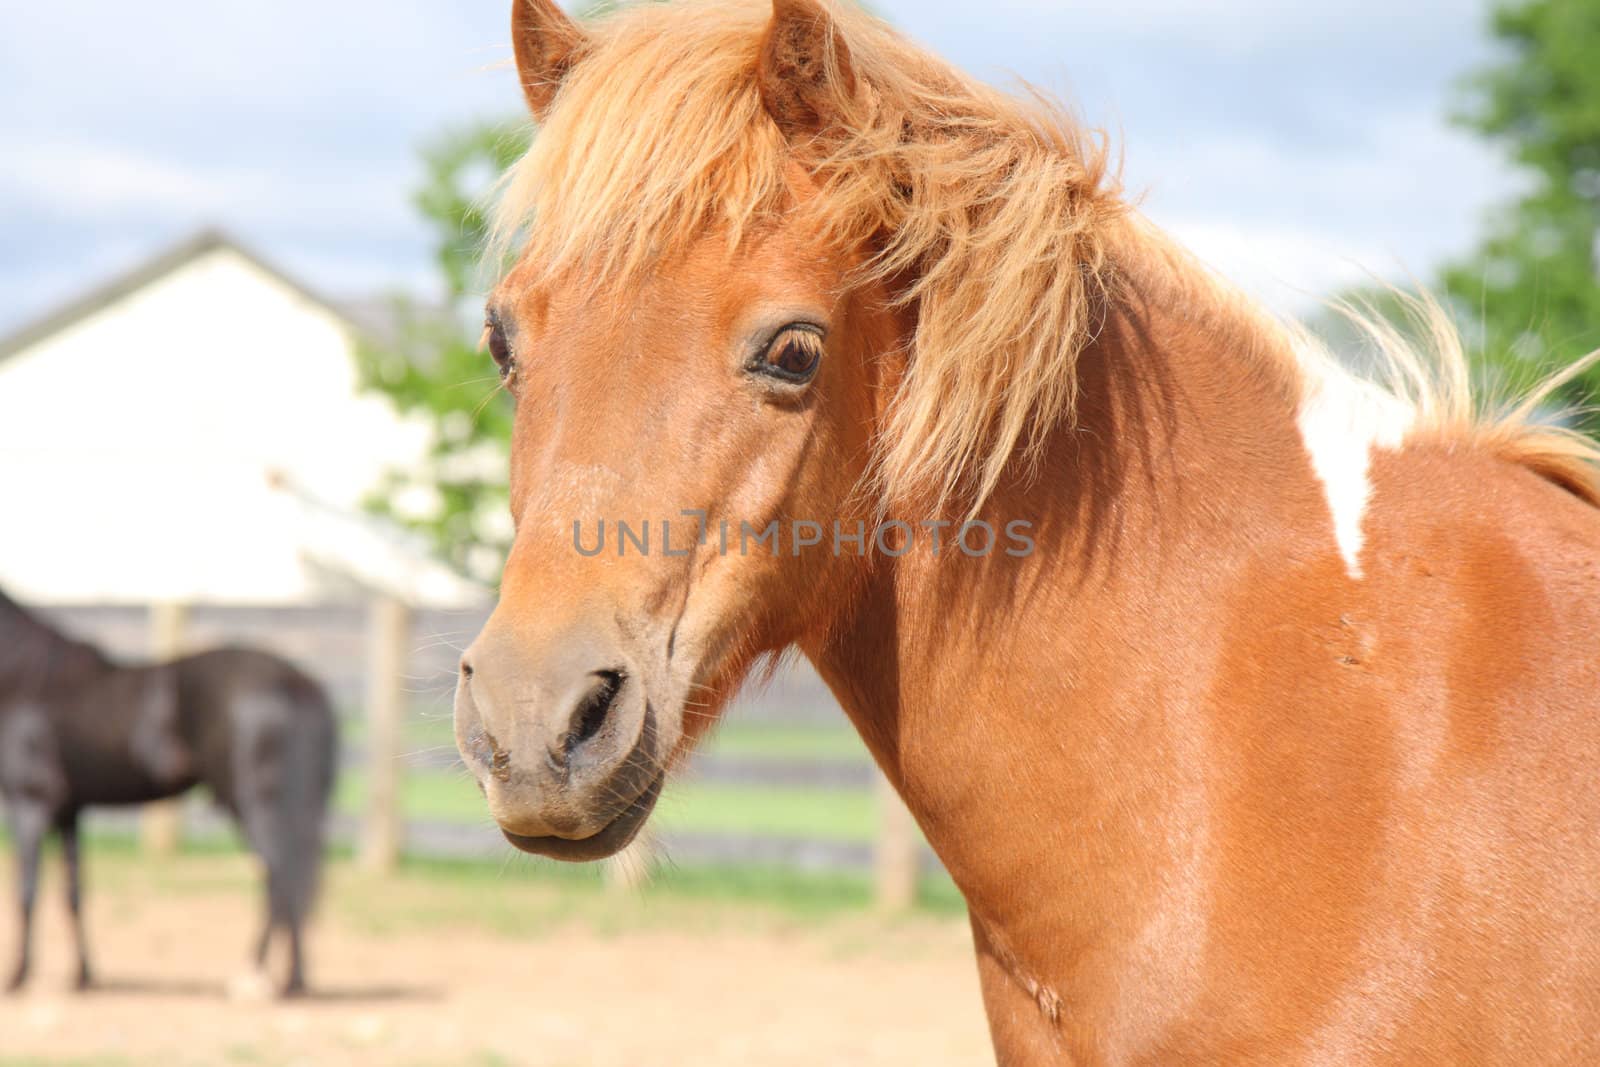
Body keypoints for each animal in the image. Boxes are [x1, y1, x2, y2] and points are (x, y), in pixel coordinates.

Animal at [0, 588, 337, 998]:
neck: (24, 679)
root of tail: (297, 682)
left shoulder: (28, 803)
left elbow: (26, 892)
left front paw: (17, 977)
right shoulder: (70, 811)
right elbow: (74, 893)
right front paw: (82, 976)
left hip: (256, 804)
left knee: (278, 877)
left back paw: (252, 976)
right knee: (293, 879)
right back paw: (293, 980)